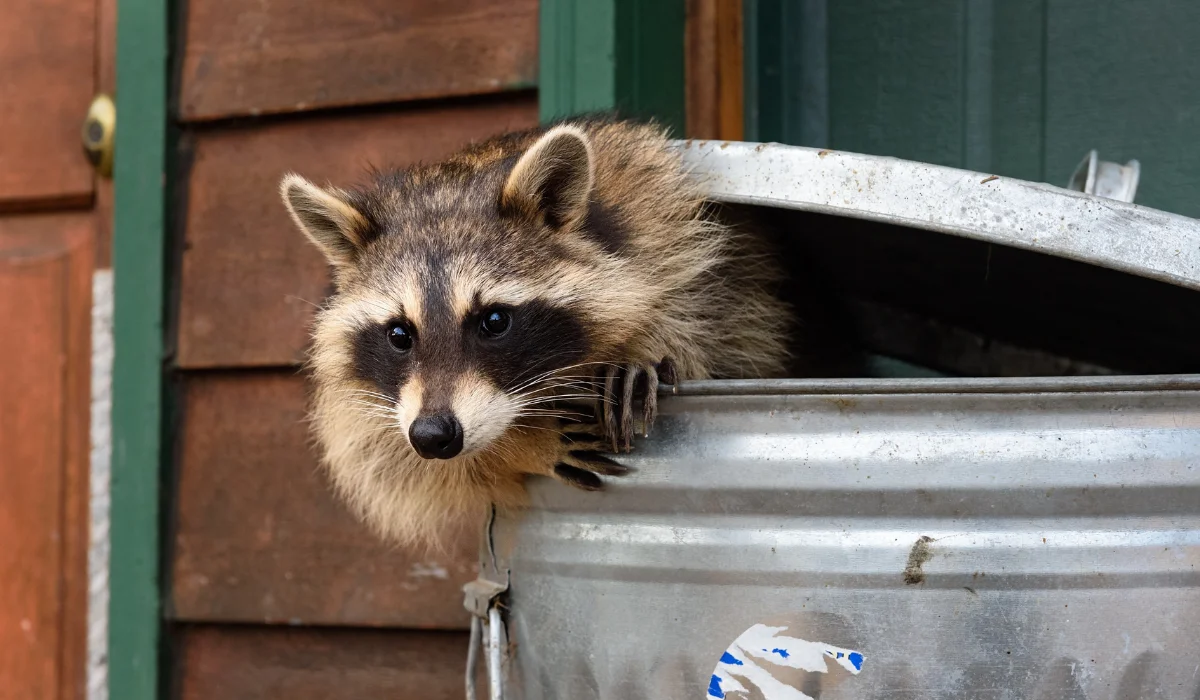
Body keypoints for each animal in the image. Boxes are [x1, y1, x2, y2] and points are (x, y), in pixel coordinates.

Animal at [280, 118, 793, 547]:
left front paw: (645, 343)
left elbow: (710, 321)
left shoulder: (672, 232)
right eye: (399, 335)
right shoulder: (371, 404)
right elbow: (388, 458)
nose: (433, 435)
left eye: (494, 322)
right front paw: (520, 446)